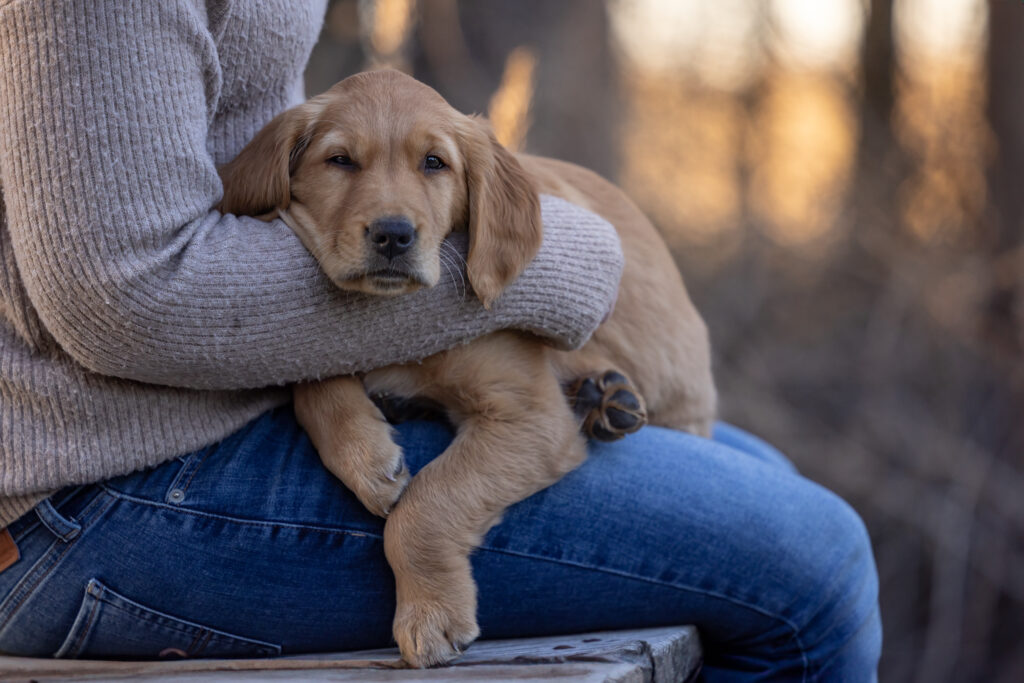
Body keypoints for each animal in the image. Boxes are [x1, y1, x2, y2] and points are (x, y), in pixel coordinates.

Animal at [218, 69, 712, 667]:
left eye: (435, 163)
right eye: (340, 161)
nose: (393, 235)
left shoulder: (531, 418)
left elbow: (427, 503)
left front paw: (431, 616)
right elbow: (311, 376)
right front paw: (368, 459)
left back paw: (607, 400)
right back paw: (602, 399)